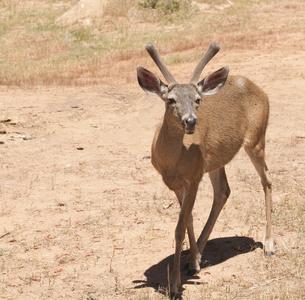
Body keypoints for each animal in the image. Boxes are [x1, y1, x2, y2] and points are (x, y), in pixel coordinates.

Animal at [137, 42, 274, 296]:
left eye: (197, 99)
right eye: (170, 100)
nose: (191, 121)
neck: (172, 163)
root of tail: (259, 89)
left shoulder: (194, 178)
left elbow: (180, 227)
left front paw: (174, 284)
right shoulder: (176, 183)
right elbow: (188, 219)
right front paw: (192, 262)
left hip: (256, 139)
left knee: (267, 180)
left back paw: (269, 245)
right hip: (215, 160)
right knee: (223, 191)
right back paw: (197, 257)